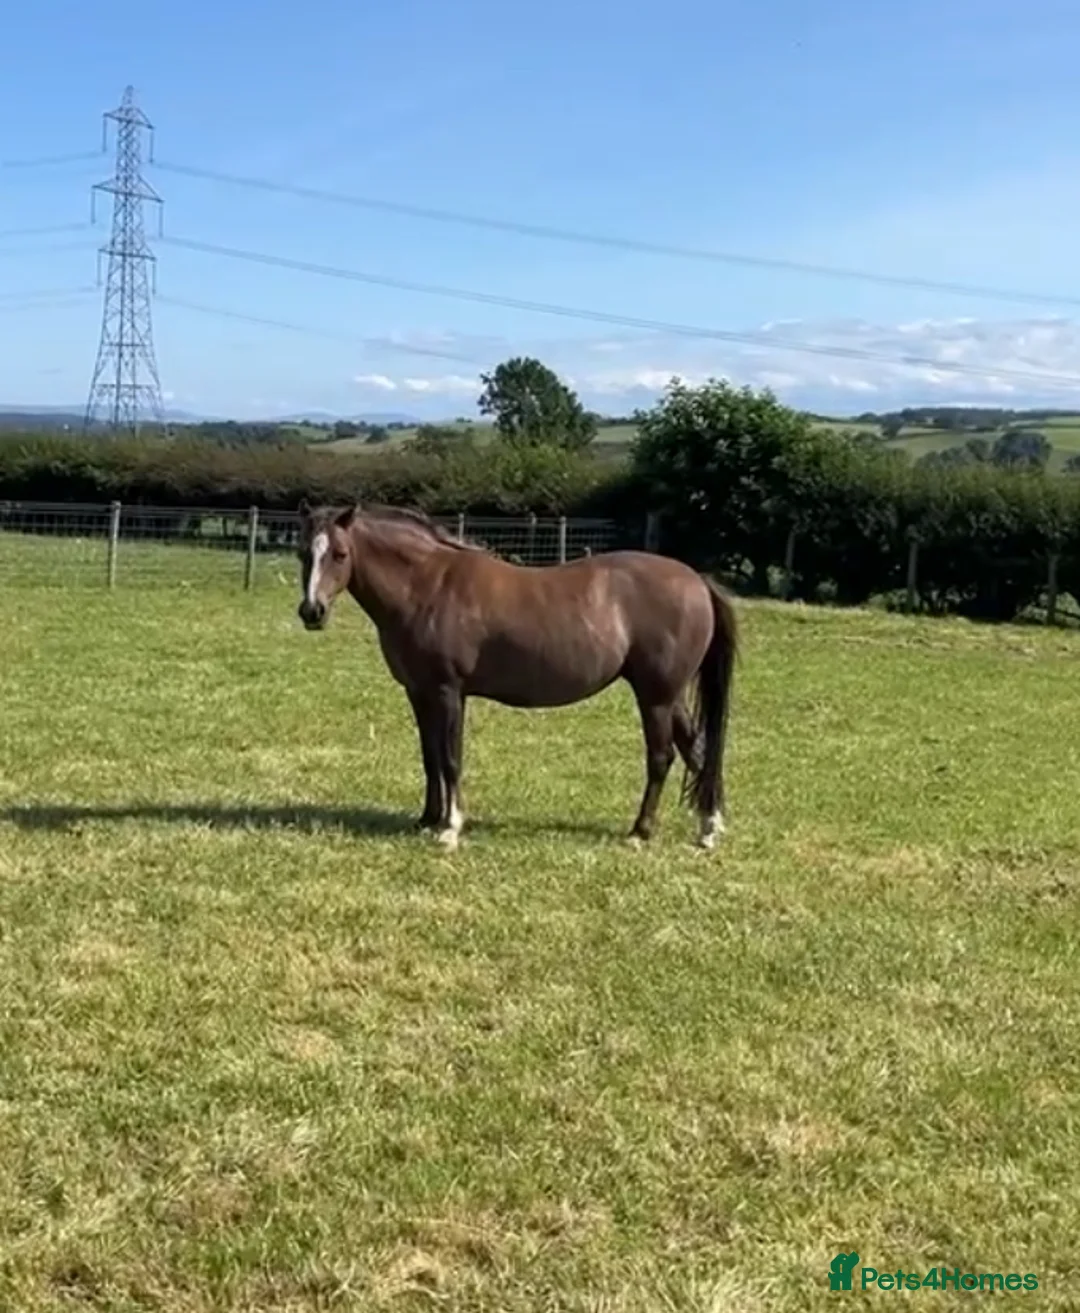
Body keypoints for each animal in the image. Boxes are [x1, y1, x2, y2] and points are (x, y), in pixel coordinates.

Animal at [294, 500, 738, 851]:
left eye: (340, 554)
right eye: (303, 554)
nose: (312, 612)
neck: (426, 586)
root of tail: (697, 581)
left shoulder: (448, 691)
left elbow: (451, 758)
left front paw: (450, 829)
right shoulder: (419, 693)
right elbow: (430, 757)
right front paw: (427, 819)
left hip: (655, 696)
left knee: (661, 757)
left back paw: (640, 832)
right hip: (670, 695)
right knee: (696, 750)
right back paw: (708, 830)